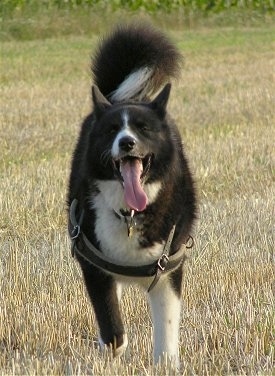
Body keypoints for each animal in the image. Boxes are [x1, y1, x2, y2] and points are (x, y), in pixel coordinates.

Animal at [68, 24, 198, 368]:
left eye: (142, 128)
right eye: (113, 129)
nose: (126, 142)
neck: (130, 215)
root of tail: (126, 95)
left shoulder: (168, 271)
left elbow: (167, 330)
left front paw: (166, 365)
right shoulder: (94, 266)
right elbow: (112, 327)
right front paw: (109, 350)